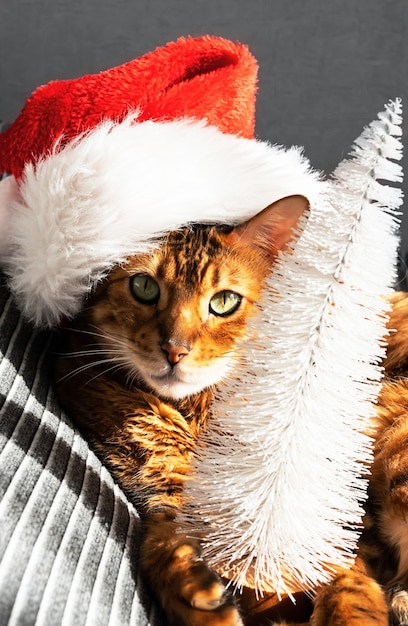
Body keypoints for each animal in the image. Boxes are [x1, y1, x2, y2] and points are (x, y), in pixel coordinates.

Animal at [53, 191, 408, 624]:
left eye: (224, 302)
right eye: (144, 286)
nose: (174, 350)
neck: (199, 410)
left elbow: (346, 581)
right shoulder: (168, 481)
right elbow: (168, 532)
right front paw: (192, 587)